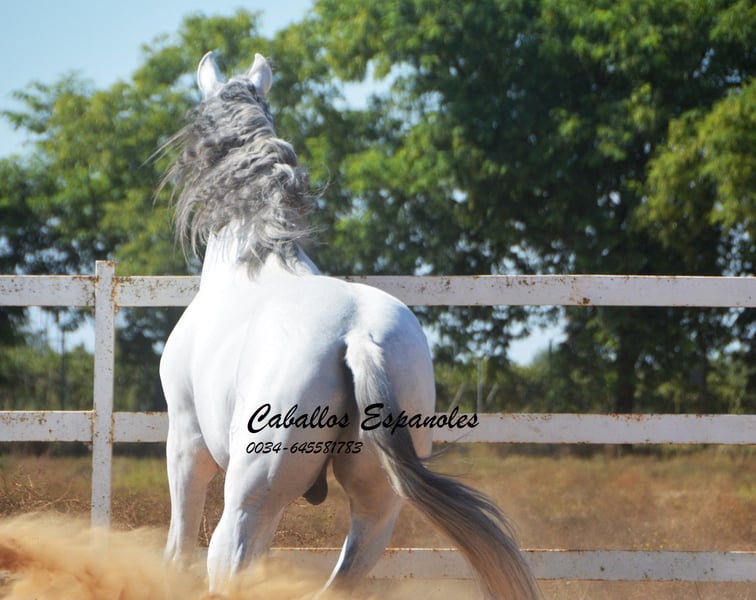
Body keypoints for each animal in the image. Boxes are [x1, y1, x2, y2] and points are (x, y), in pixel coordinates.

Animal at [159, 51, 541, 599]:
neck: (252, 262)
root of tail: (356, 335)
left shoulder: (186, 446)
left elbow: (177, 549)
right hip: (377, 505)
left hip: (251, 501)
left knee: (228, 561)